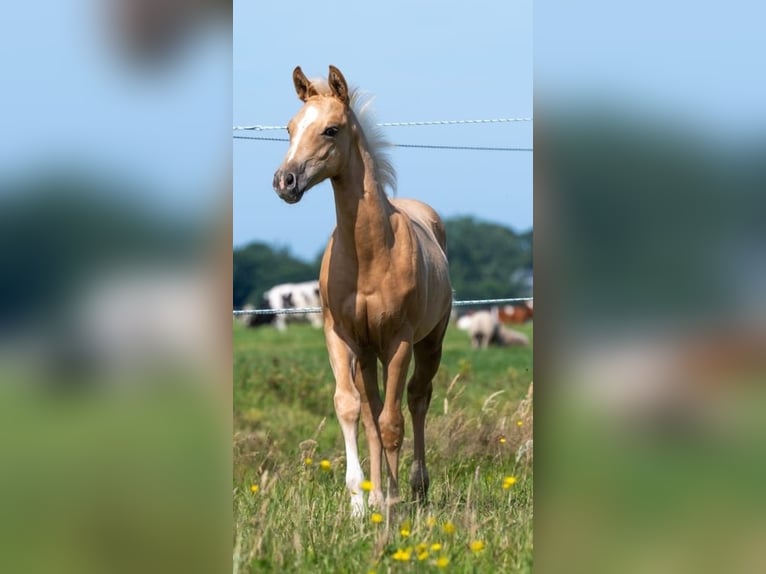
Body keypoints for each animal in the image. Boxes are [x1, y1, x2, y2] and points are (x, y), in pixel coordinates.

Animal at [273, 65, 452, 516]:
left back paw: (415, 488)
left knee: (417, 399)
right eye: (290, 128)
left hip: (429, 342)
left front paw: (393, 502)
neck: (371, 254)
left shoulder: (399, 341)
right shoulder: (341, 337)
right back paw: (377, 494)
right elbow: (351, 407)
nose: (284, 181)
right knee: (372, 410)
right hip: (369, 354)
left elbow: (392, 422)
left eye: (331, 129)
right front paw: (359, 501)